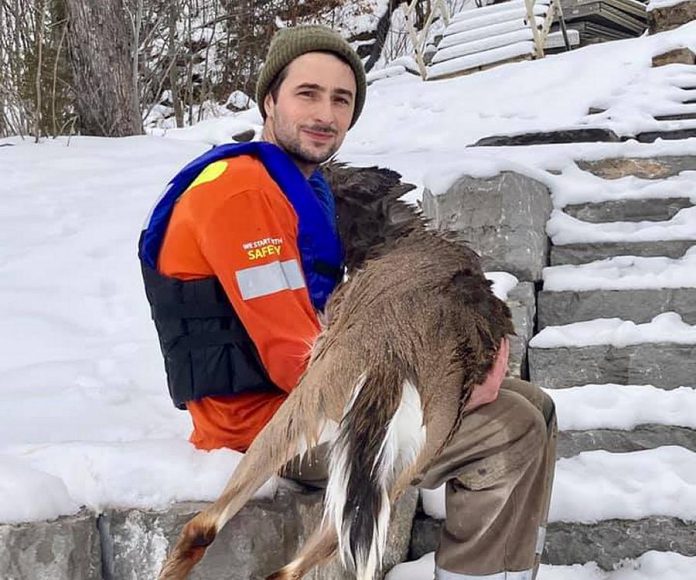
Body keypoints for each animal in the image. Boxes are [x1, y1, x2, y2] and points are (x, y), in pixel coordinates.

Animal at [159, 162, 516, 580]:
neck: (392, 238)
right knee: (299, 562)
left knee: (205, 525)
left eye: (329, 182)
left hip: (314, 391)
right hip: (406, 463)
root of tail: (393, 358)